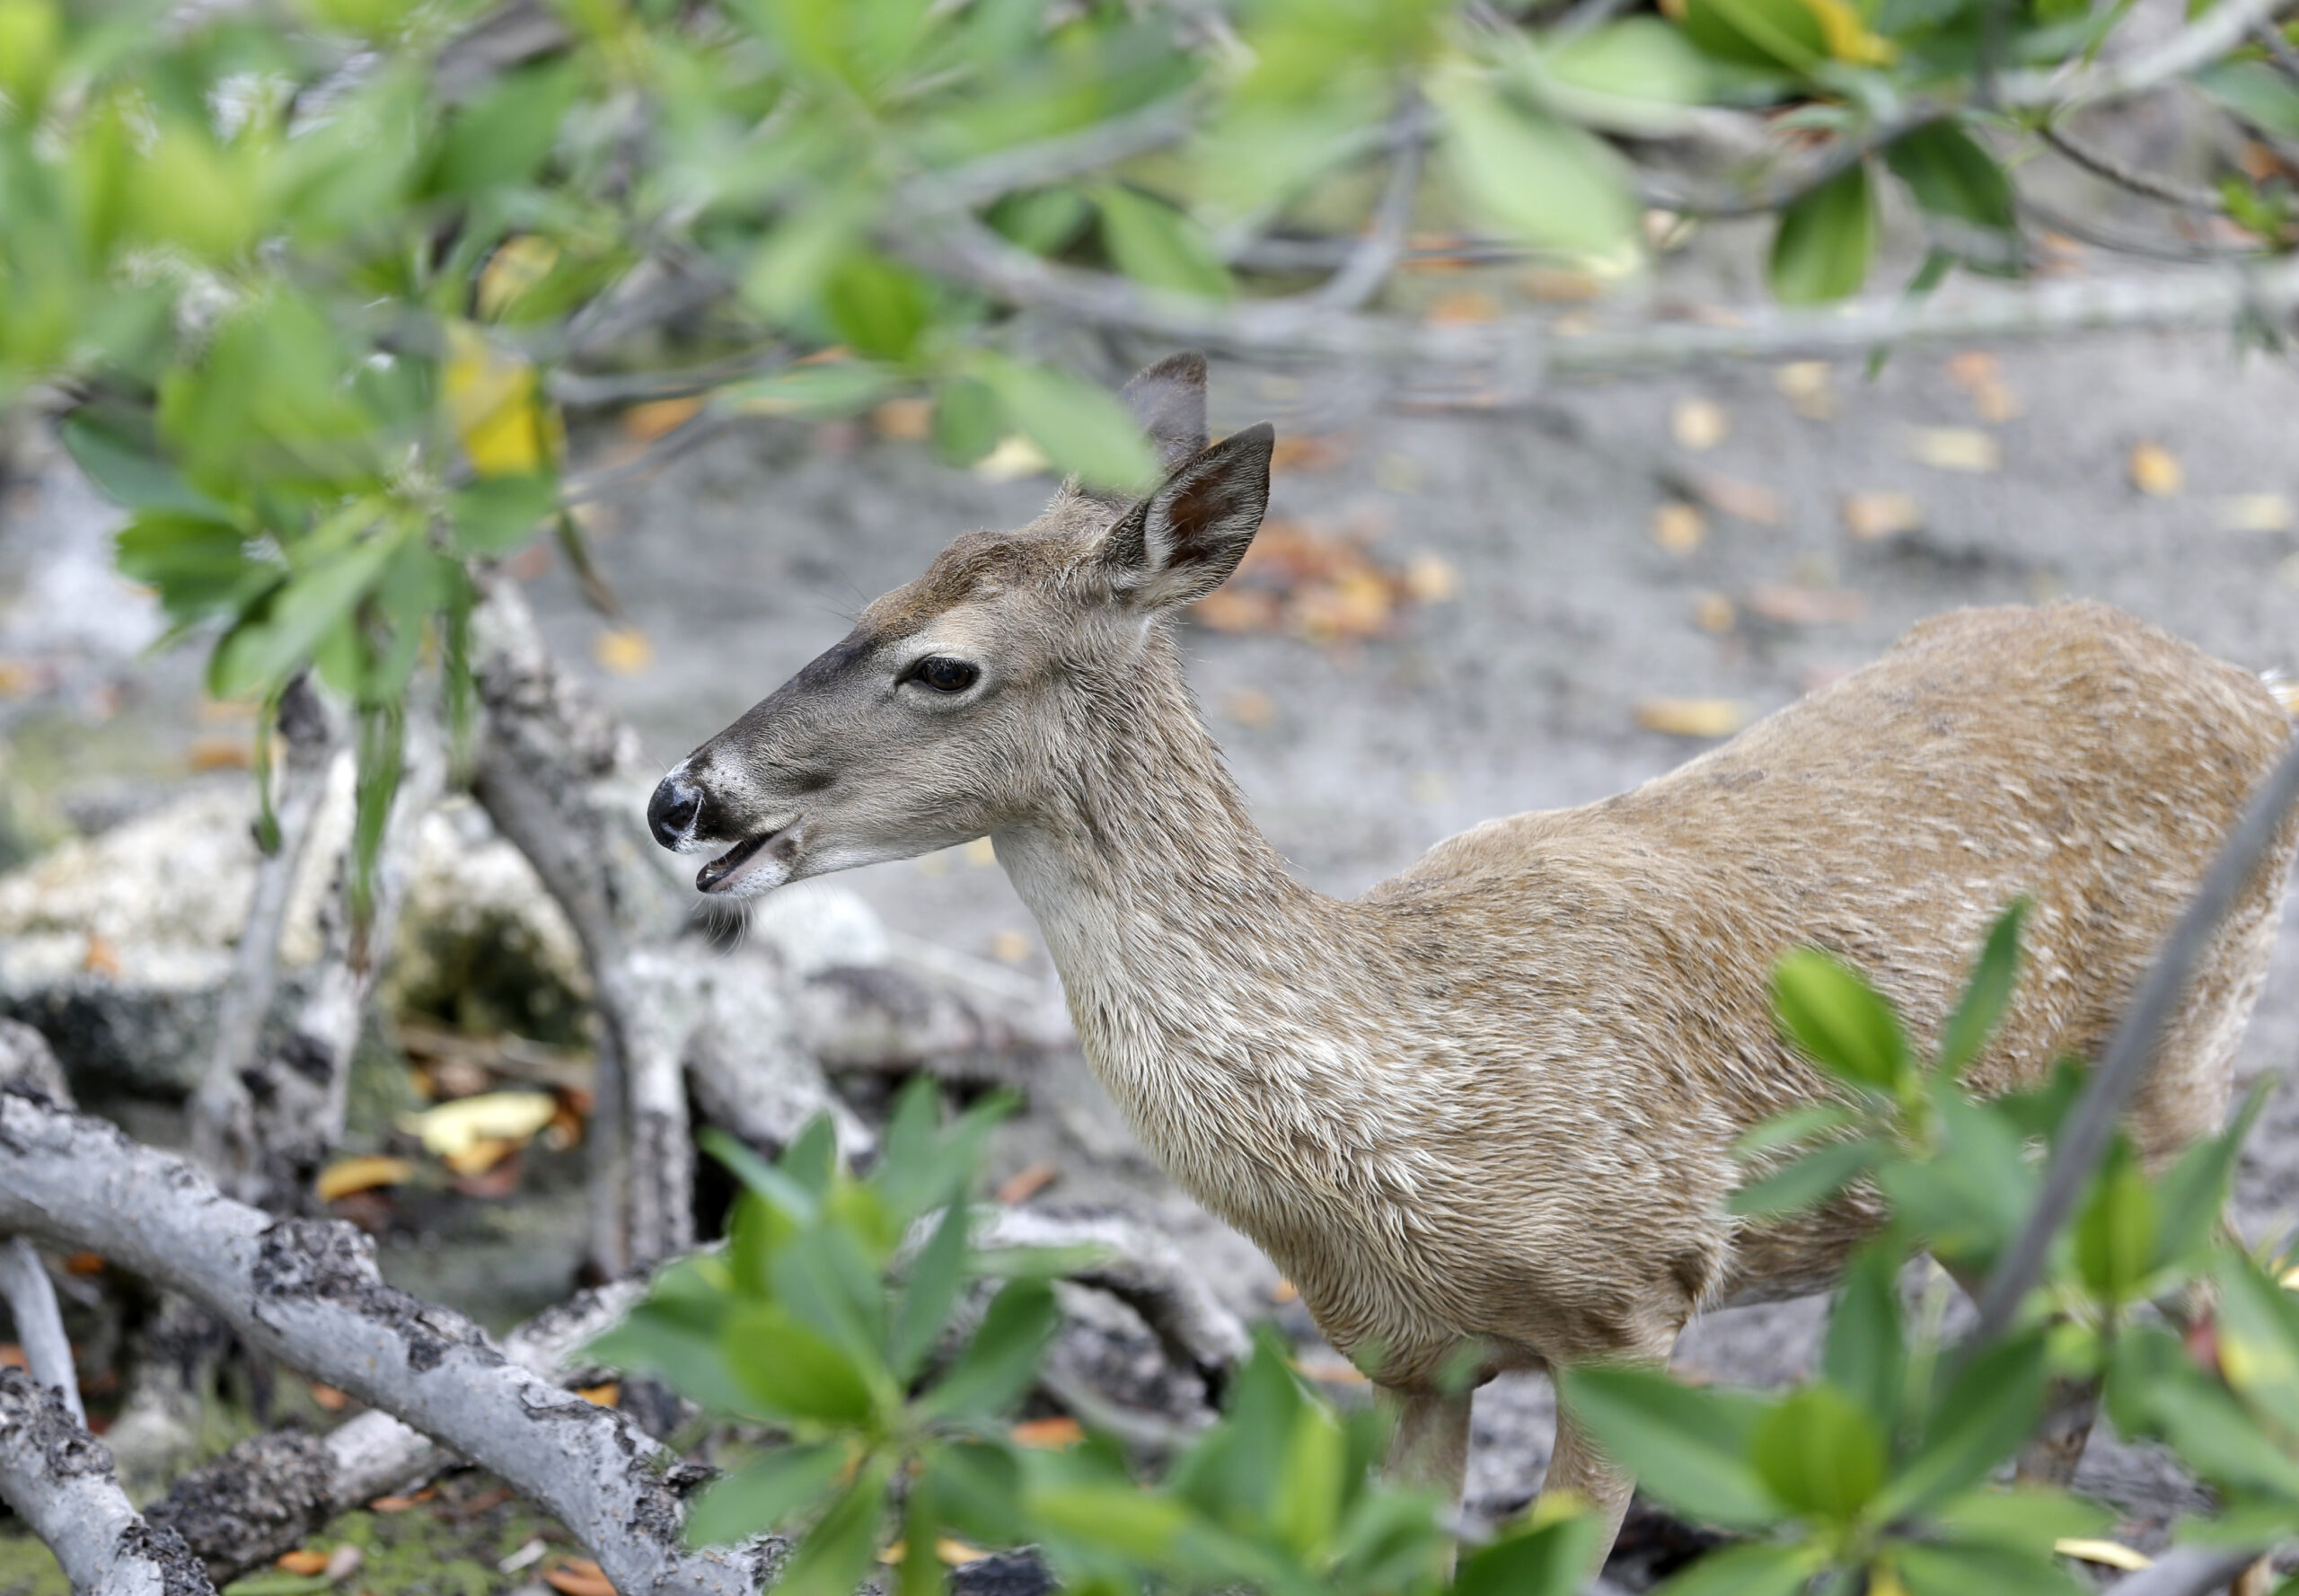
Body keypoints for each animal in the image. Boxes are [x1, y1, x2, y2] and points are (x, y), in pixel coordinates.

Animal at [647, 356, 2299, 1573]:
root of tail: (2253, 687)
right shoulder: (1400, 1359)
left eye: (943, 664)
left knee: (2217, 1308)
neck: (1407, 1106)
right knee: (2076, 1338)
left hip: (2172, 1067)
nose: (684, 797)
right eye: (873, 594)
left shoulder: (1642, 1299)